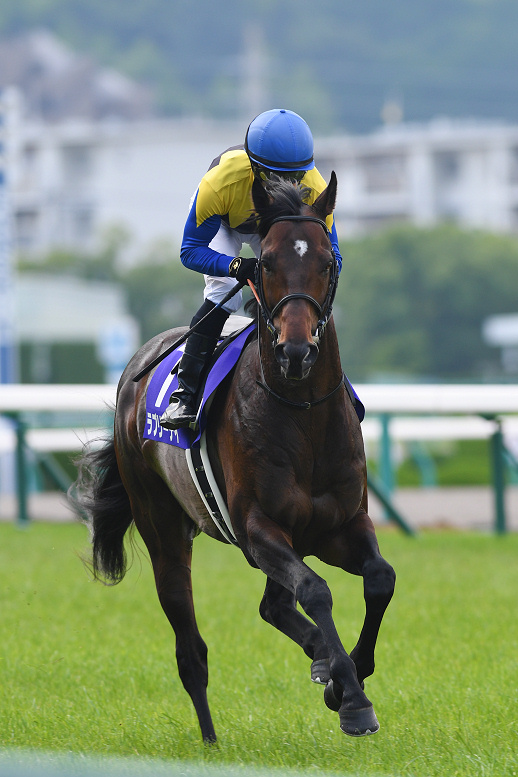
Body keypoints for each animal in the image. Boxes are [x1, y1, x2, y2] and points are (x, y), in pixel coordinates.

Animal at [74, 172, 396, 744]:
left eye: (327, 262)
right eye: (264, 262)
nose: (296, 351)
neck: (303, 415)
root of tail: (135, 367)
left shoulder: (340, 524)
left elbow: (380, 579)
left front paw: (346, 675)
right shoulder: (257, 529)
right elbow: (316, 590)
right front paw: (352, 697)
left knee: (273, 606)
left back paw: (321, 660)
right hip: (162, 526)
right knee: (190, 646)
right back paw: (210, 737)